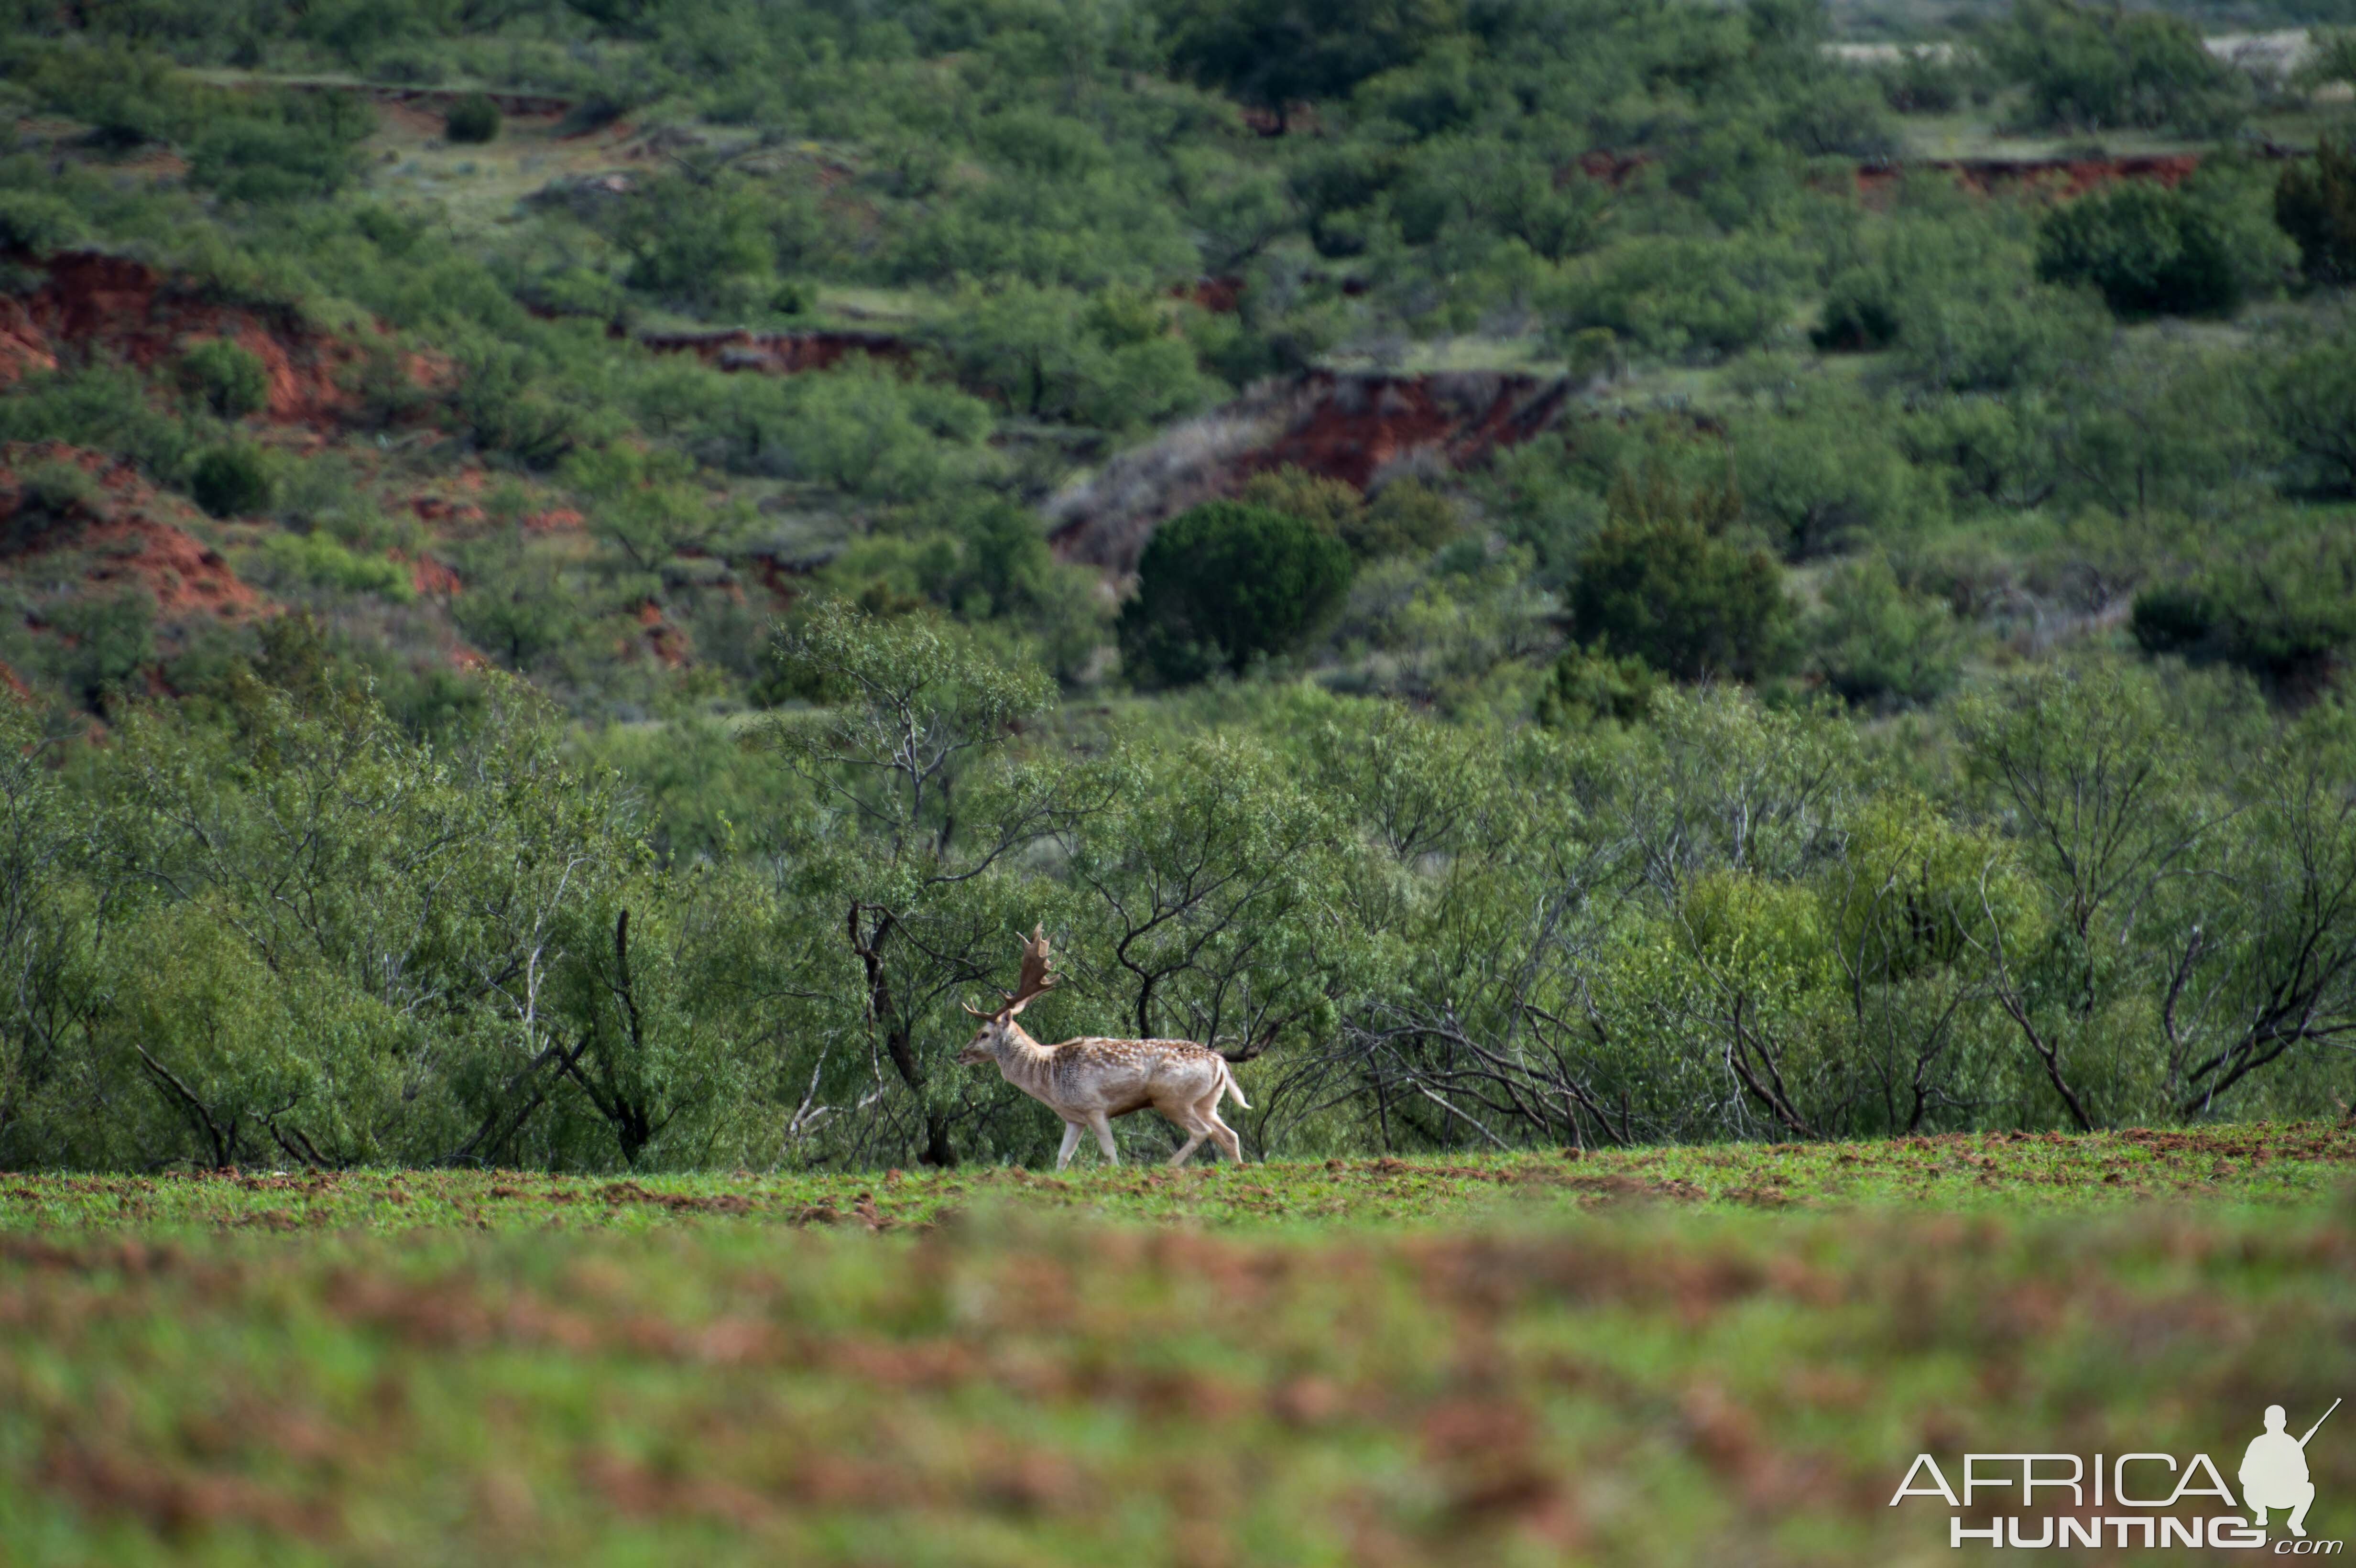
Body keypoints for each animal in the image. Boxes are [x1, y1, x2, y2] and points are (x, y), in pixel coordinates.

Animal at [956, 923, 1253, 1167]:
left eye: (984, 1034)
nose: (960, 1055)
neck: (1049, 1076)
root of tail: (1220, 1061)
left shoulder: (1095, 1106)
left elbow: (1111, 1153)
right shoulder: (1074, 1117)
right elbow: (1063, 1157)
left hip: (1171, 1097)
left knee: (1203, 1131)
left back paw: (1166, 1168)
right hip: (1207, 1102)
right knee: (1231, 1135)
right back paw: (1237, 1169)